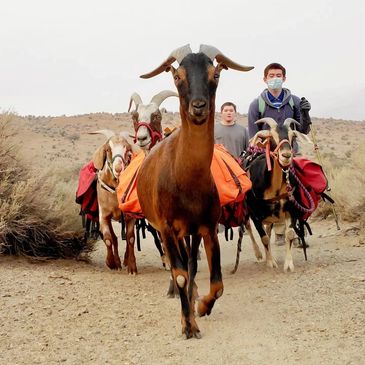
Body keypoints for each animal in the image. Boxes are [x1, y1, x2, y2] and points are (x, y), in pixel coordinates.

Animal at [90, 129, 138, 268]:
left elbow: (130, 238)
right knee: (114, 238)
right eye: (107, 149)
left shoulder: (130, 216)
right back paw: (117, 261)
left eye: (127, 149)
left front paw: (131, 265)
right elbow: (108, 239)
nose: (118, 168)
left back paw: (125, 260)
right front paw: (111, 262)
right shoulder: (104, 215)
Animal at [135, 44, 252, 336]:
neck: (186, 179)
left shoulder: (207, 228)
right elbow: (179, 274)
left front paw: (201, 307)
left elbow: (217, 284)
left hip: (191, 232)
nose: (198, 107)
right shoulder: (166, 228)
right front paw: (188, 323)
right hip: (170, 232)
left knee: (191, 263)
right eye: (178, 76)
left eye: (215, 74)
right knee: (180, 267)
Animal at [245, 116, 310, 270]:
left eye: (293, 136)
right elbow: (263, 238)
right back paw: (259, 255)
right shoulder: (255, 215)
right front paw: (270, 262)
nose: (286, 155)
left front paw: (288, 264)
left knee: (268, 230)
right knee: (249, 228)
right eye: (271, 136)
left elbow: (290, 233)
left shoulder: (291, 209)